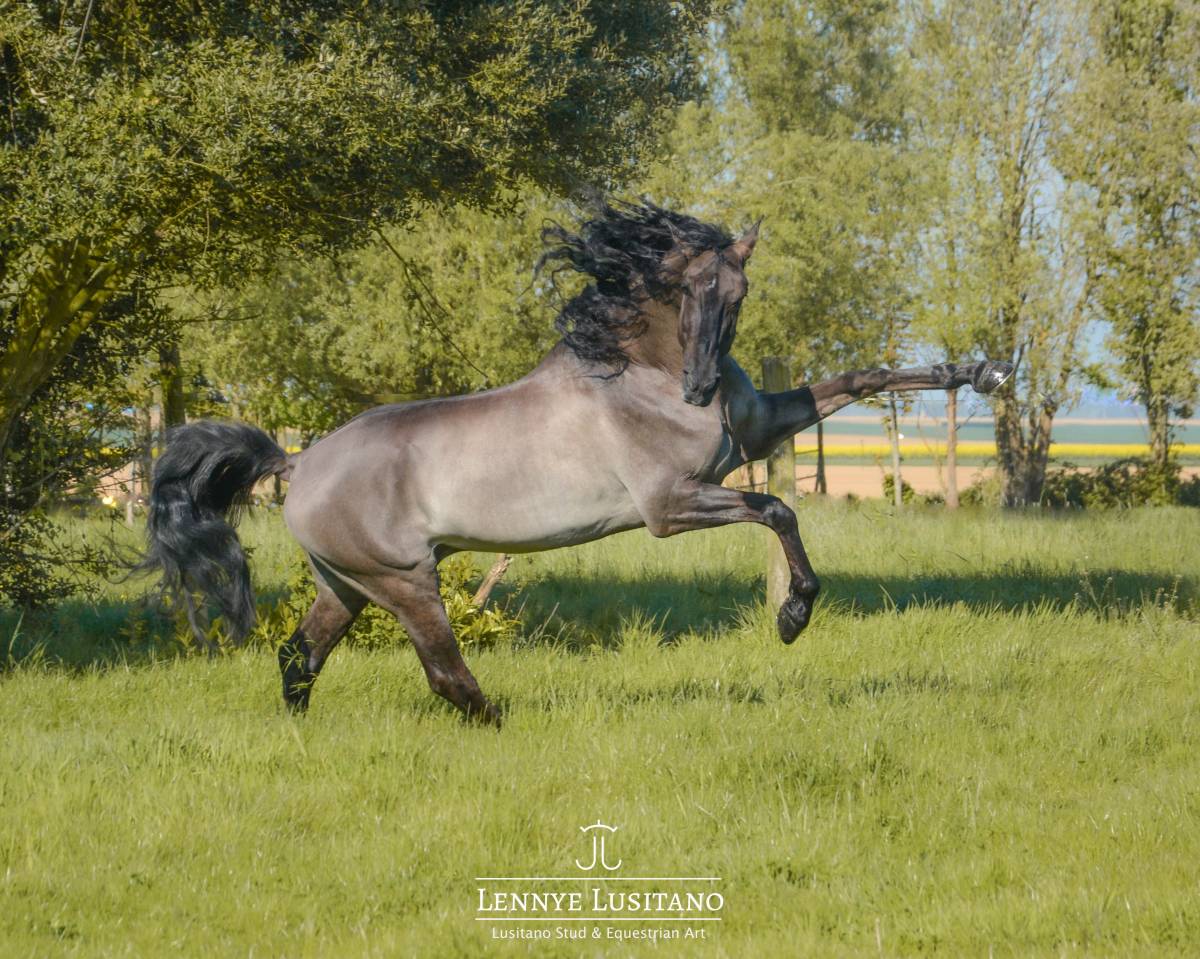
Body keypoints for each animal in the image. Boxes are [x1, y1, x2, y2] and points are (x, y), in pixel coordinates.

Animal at [140, 200, 1012, 727]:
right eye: (688, 289)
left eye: (738, 293)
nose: (702, 386)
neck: (641, 376)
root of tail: (297, 463)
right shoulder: (670, 504)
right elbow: (779, 508)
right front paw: (793, 616)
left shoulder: (759, 435)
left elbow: (862, 380)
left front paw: (981, 370)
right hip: (403, 581)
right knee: (444, 671)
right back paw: (502, 725)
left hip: (345, 584)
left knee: (300, 653)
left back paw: (302, 728)